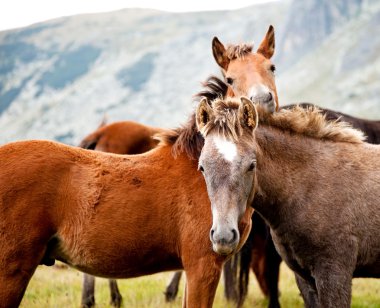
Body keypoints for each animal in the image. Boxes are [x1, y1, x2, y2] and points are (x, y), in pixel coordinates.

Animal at [196, 94, 380, 308]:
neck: (310, 186)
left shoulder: (335, 273)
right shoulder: (305, 277)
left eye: (251, 165)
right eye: (202, 167)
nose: (223, 237)